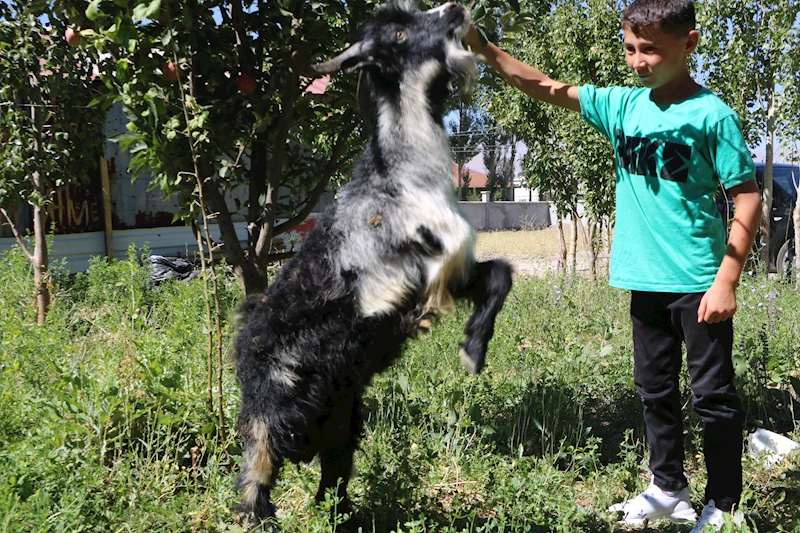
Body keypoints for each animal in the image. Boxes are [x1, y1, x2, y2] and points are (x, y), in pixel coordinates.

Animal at [234, 0, 516, 524]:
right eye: (399, 34)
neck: (403, 178)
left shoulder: (448, 271)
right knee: (256, 482)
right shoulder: (402, 277)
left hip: (343, 416)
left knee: (333, 480)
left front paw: (473, 350)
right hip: (273, 414)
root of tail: (244, 342)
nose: (455, 8)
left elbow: (499, 278)